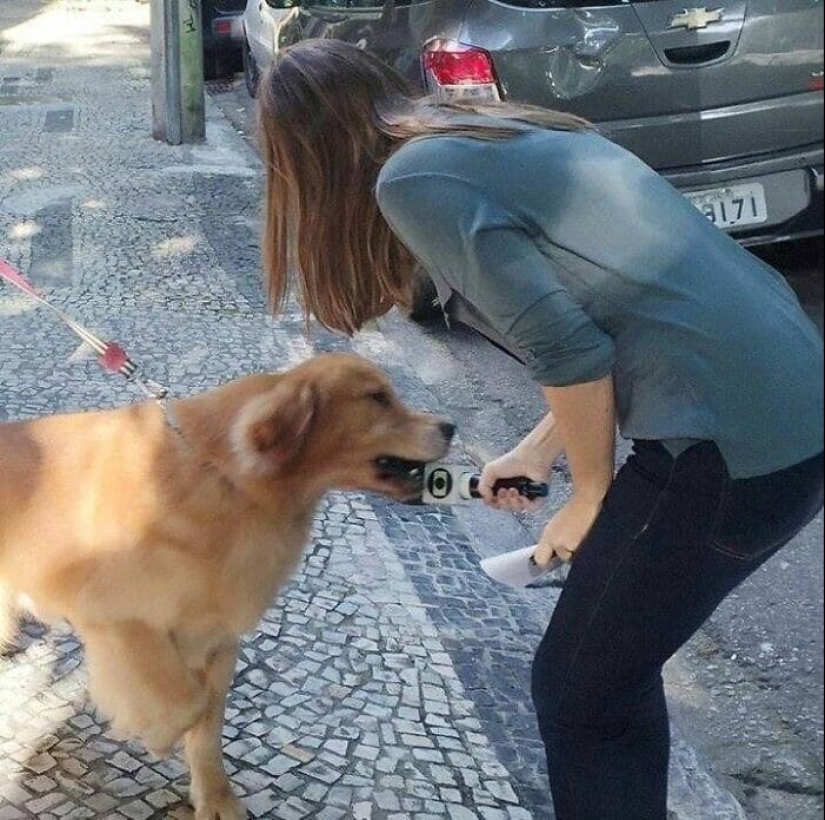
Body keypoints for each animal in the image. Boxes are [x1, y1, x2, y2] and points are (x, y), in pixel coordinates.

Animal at [0, 352, 450, 820]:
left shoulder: (218, 639)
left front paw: (215, 797)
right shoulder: (119, 617)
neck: (224, 478)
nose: (451, 427)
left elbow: (208, 723)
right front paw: (153, 730)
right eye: (378, 397)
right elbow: (185, 701)